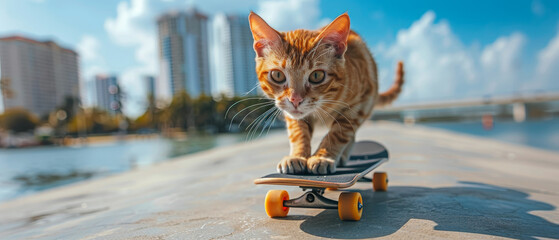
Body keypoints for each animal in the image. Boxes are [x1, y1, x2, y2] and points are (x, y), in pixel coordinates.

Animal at [249, 11, 402, 174]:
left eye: (317, 76)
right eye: (277, 75)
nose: (295, 100)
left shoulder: (360, 104)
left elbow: (339, 133)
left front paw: (322, 157)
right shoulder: (291, 113)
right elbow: (298, 133)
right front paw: (297, 156)